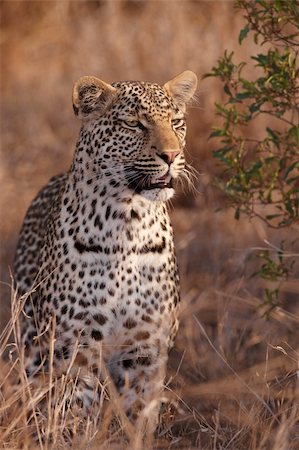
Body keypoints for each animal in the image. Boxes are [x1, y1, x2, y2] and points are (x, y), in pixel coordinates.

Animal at [14, 69, 198, 432]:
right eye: (134, 124)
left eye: (176, 122)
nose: (172, 156)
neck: (128, 220)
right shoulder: (75, 347)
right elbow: (75, 412)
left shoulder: (144, 349)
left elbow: (139, 414)